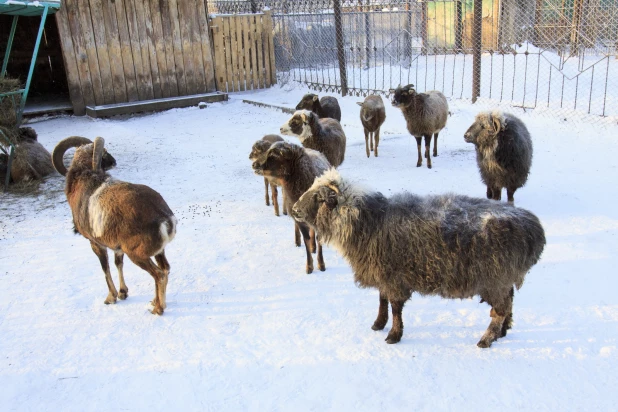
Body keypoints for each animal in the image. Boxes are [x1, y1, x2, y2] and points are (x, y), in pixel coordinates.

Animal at [52, 137, 176, 314]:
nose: (113, 161)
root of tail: (164, 218)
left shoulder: (96, 244)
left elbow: (105, 268)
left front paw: (111, 298)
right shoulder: (118, 248)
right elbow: (118, 264)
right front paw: (123, 293)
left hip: (137, 255)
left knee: (159, 275)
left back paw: (158, 309)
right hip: (159, 251)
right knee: (165, 268)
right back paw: (155, 302)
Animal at [250, 142, 330, 274]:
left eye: (274, 155)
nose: (254, 164)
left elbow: (319, 239)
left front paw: (321, 264)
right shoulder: (298, 218)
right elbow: (306, 239)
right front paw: (309, 266)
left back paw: (313, 247)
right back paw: (299, 242)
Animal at [290, 169, 544, 346]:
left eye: (318, 197)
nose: (293, 209)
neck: (367, 222)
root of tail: (535, 230)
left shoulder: (393, 277)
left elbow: (395, 307)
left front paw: (393, 335)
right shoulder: (383, 274)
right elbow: (382, 300)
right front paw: (378, 324)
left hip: (495, 280)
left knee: (499, 310)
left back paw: (487, 339)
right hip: (504, 280)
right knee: (509, 302)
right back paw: (503, 332)